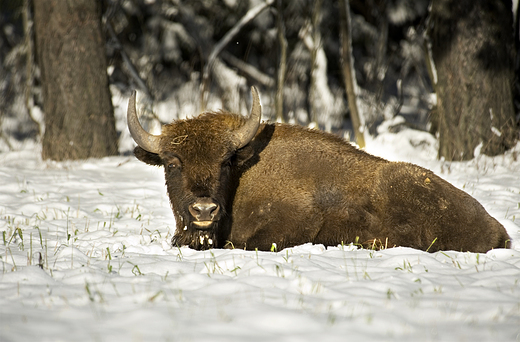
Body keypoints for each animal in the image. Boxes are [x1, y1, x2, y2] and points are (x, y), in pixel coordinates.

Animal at [128, 87, 510, 252]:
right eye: (173, 163)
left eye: (225, 161)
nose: (204, 209)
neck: (242, 176)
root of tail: (496, 227)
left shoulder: (294, 222)